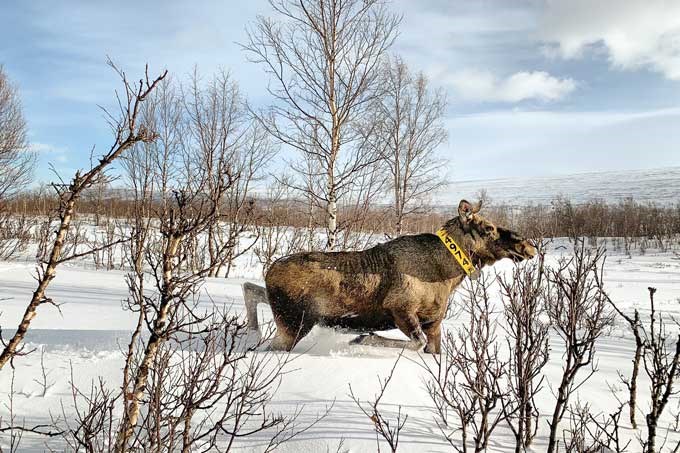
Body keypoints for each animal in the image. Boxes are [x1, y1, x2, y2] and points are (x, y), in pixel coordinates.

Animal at [244, 200, 536, 354]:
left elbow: (431, 349)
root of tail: (270, 272)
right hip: (294, 323)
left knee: (250, 287)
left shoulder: (433, 322)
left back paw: (251, 329)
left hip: (287, 314)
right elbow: (416, 343)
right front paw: (361, 338)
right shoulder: (400, 308)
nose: (528, 245)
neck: (448, 276)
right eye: (488, 228)